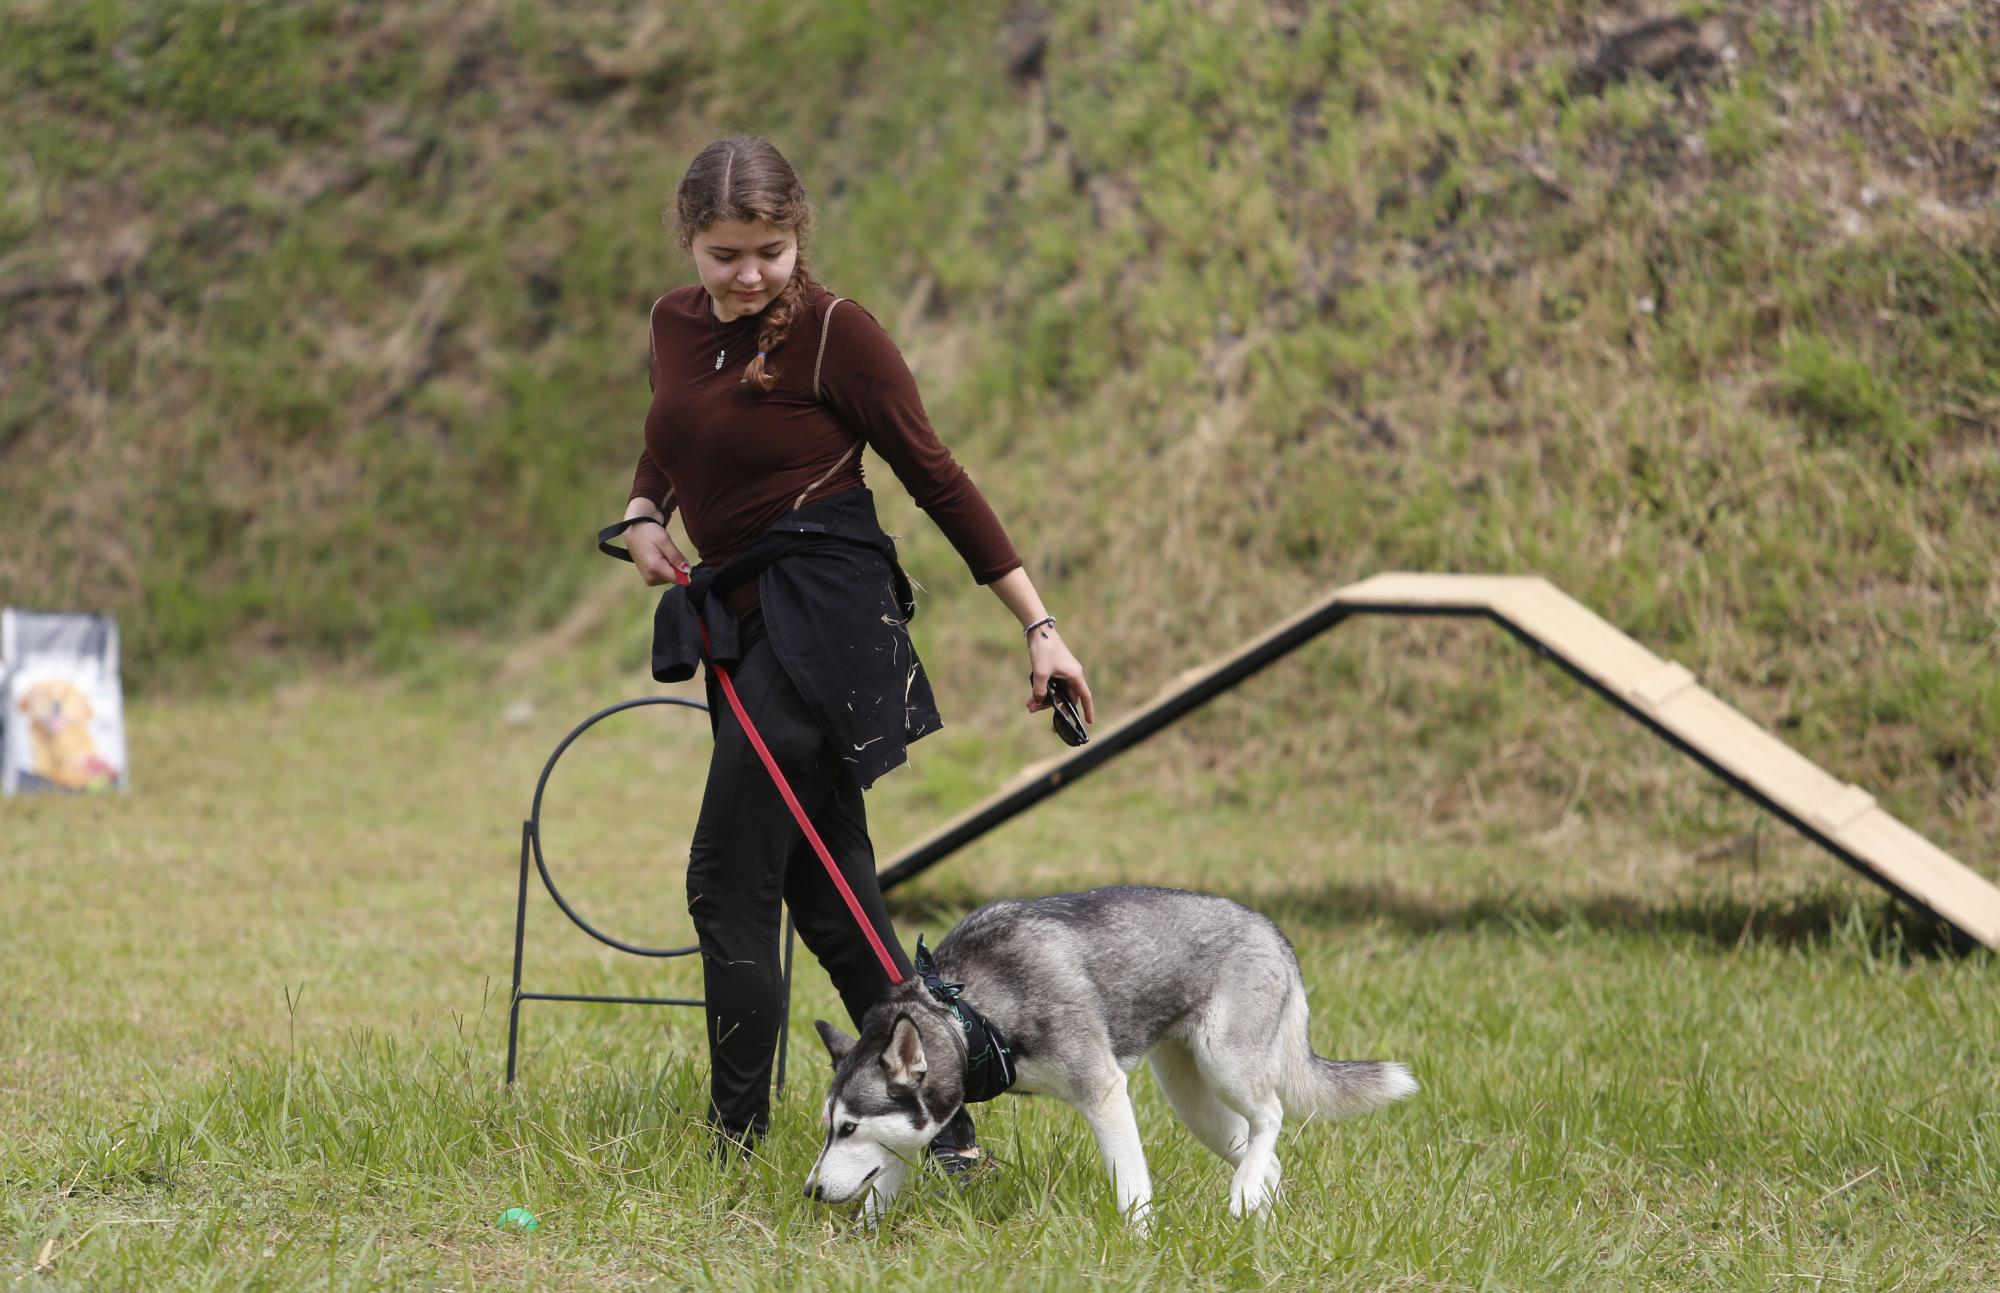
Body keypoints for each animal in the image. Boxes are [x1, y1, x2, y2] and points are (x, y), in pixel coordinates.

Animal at [804, 884, 1416, 1232]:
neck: (965, 1013)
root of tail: (1271, 928)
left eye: (850, 1126)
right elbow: (882, 1186)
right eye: (830, 1126)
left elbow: (1131, 1186)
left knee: (1273, 1115)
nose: (810, 1192)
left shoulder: (1103, 1091)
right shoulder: (916, 1132)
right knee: (1269, 1157)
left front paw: (1138, 1242)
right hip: (1194, 1103)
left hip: (1227, 1066)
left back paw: (1244, 1195)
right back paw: (1254, 1213)